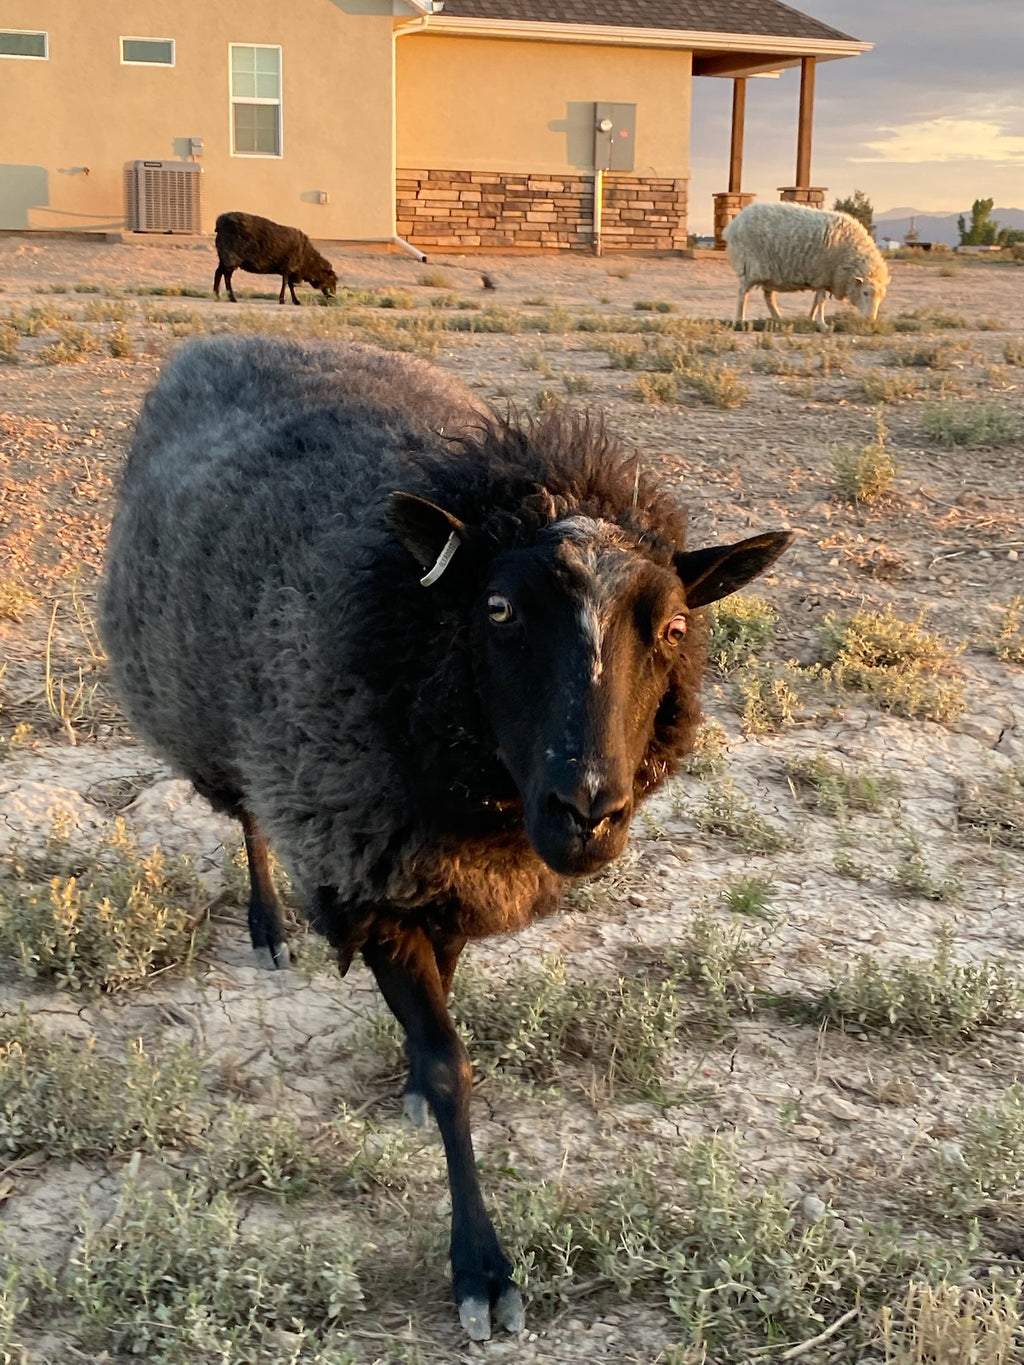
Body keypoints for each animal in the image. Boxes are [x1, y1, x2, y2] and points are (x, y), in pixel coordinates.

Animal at [99, 335, 792, 1341]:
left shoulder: (449, 883)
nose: (588, 811)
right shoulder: (367, 870)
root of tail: (220, 344)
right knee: (250, 816)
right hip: (215, 715)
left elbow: (444, 1010)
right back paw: (268, 924)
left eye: (671, 626)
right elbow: (452, 1063)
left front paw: (409, 1084)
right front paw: (480, 1266)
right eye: (497, 611)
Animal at [723, 200, 889, 332]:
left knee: (768, 297)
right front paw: (822, 325)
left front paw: (810, 319)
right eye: (865, 293)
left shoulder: (824, 277)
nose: (870, 320)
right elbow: (821, 300)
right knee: (742, 294)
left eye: (881, 296)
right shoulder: (822, 274)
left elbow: (816, 300)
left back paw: (779, 319)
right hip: (750, 266)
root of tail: (732, 225)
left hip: (770, 271)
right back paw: (739, 321)